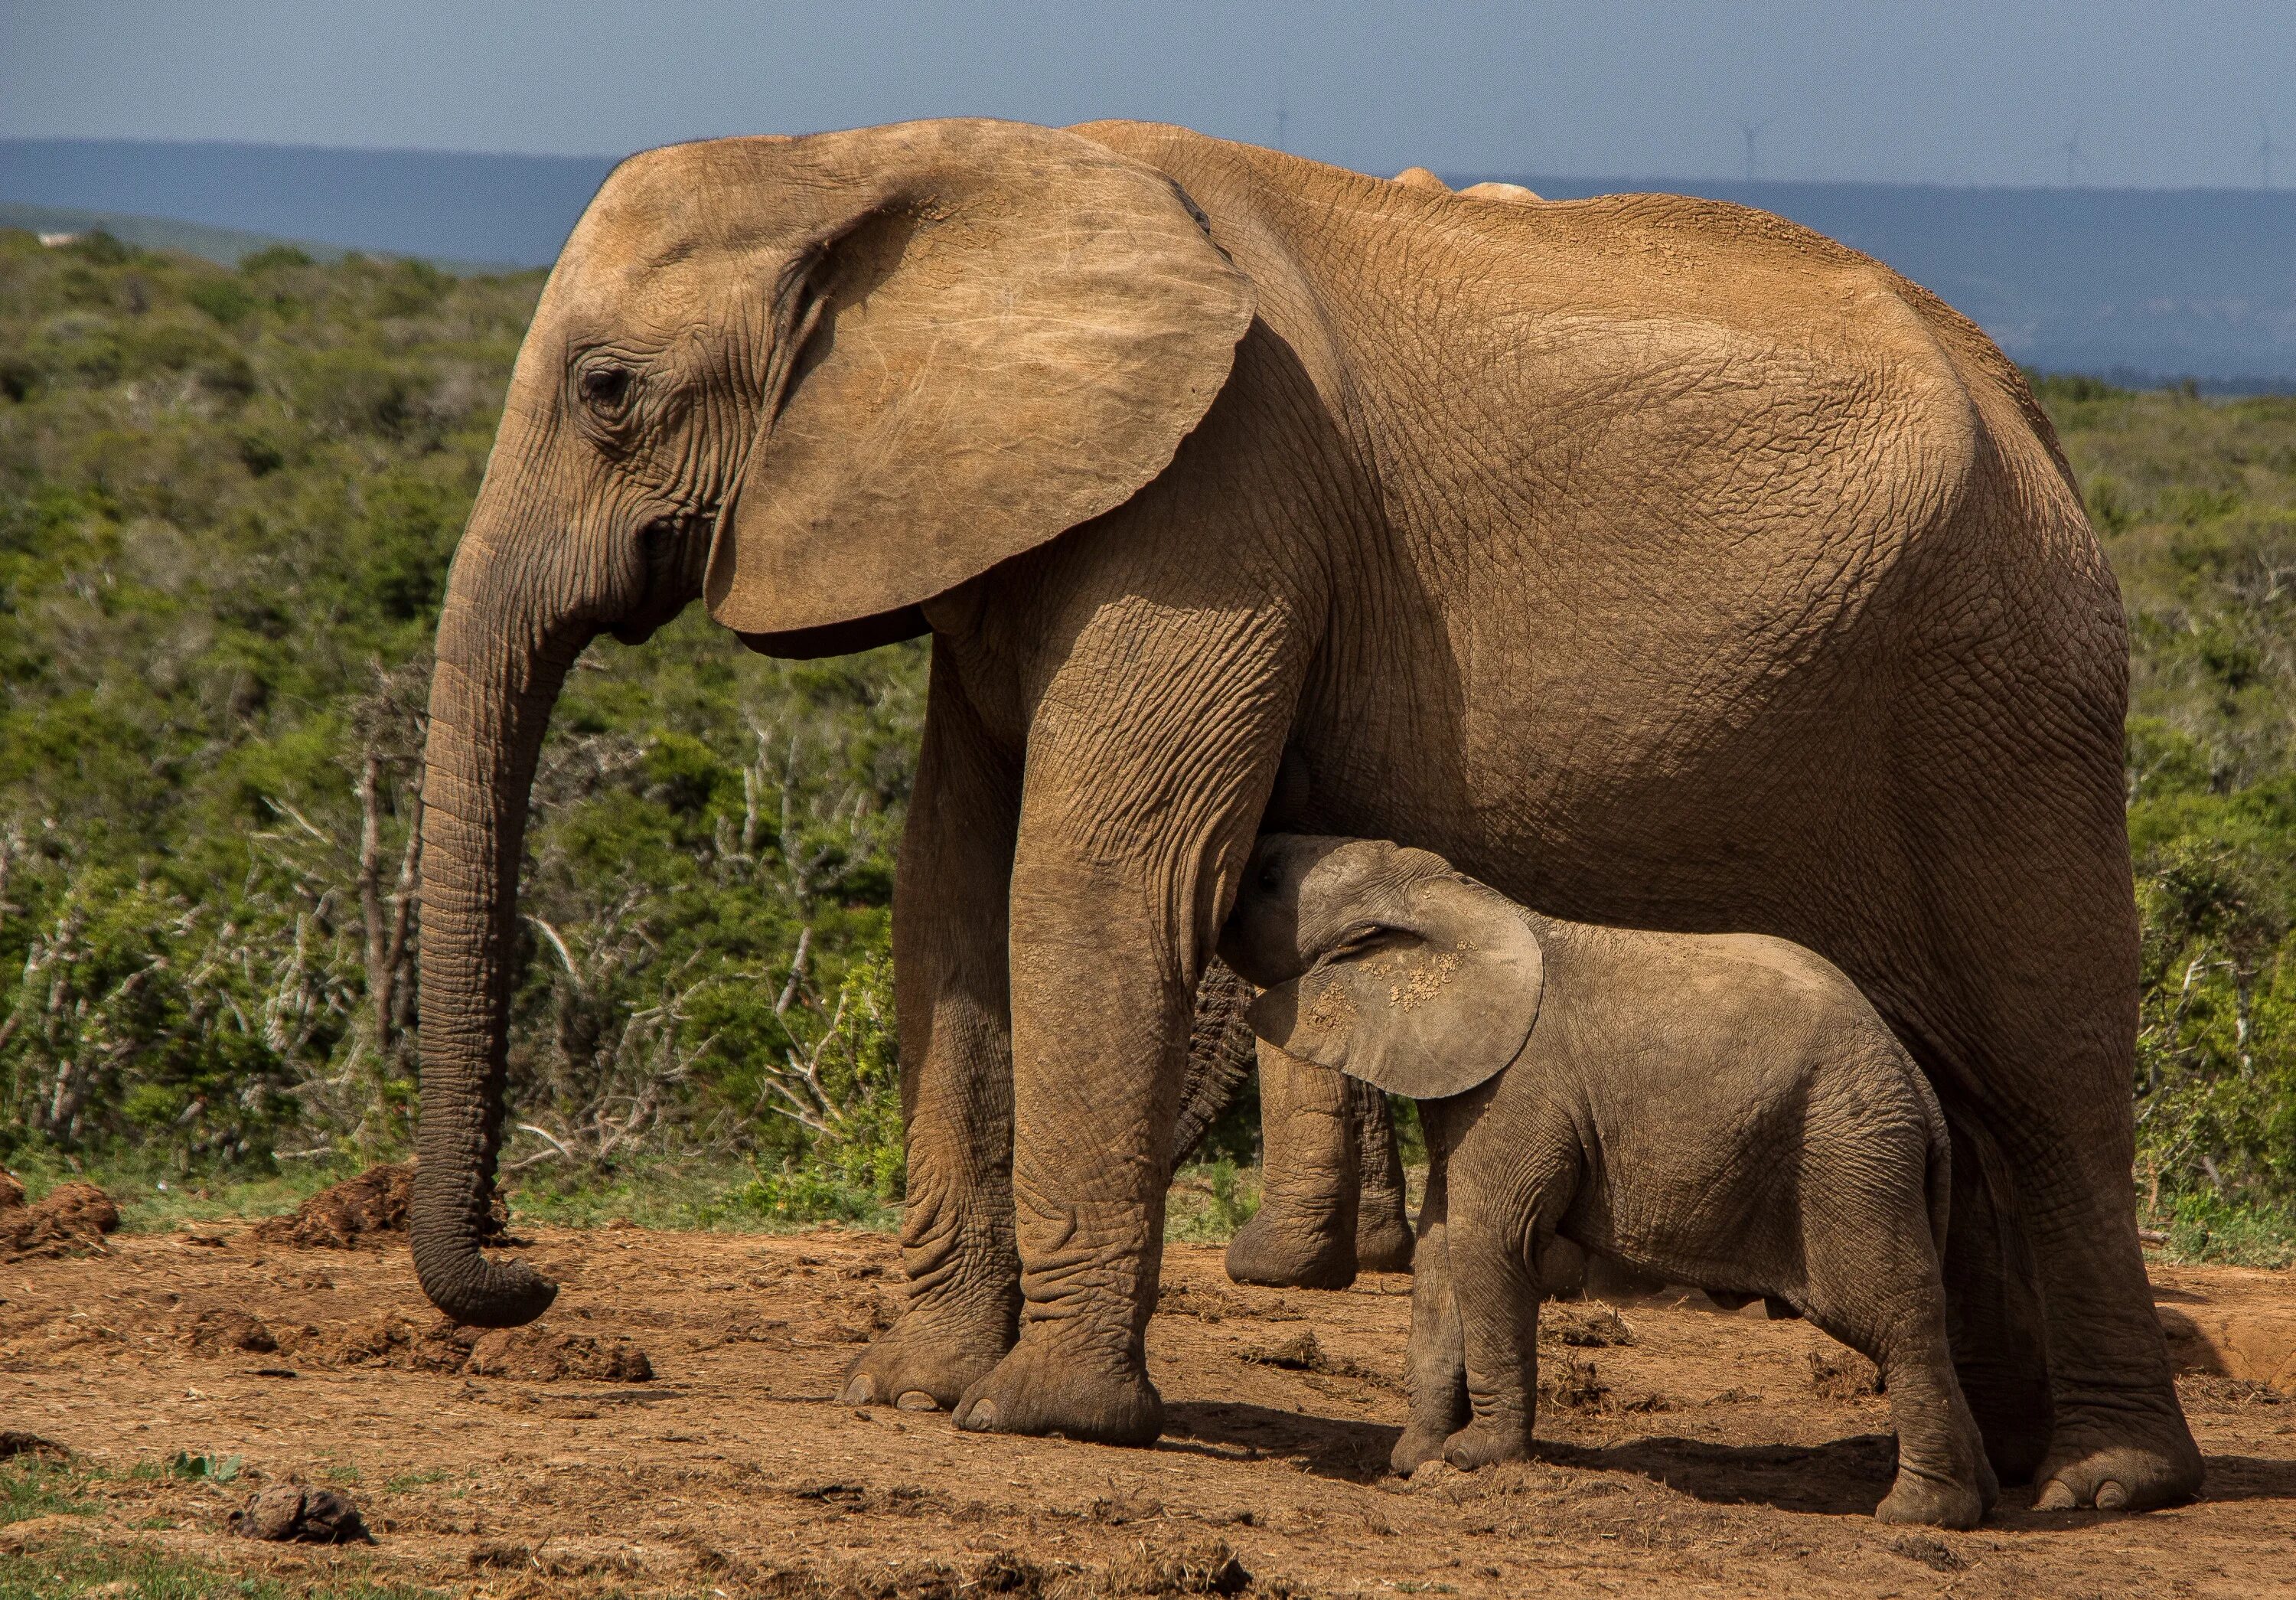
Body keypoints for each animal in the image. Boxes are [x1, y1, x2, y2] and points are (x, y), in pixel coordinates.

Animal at [1231, 831, 2002, 1533]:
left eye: (1265, 879)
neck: (1455, 894)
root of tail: (1918, 1088)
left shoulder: (1521, 1087)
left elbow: (1487, 1242)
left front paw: (1475, 1459)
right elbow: (1441, 1249)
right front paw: (1415, 1462)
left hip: (1849, 1158)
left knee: (1893, 1316)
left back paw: (1920, 1515)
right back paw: (1984, 1500)